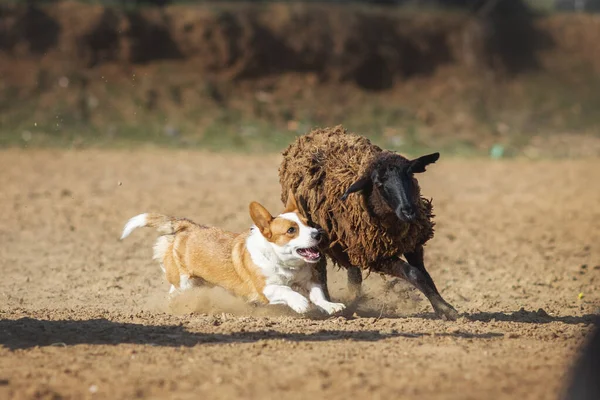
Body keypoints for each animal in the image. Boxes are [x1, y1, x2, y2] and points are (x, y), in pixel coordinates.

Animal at [278, 125, 458, 318]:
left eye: (410, 176)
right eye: (378, 183)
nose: (409, 211)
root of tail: (312, 133)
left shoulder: (412, 244)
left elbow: (425, 275)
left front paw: (442, 307)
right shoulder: (376, 257)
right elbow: (413, 273)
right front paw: (446, 309)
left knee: (353, 273)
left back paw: (354, 299)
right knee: (320, 272)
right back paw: (331, 305)